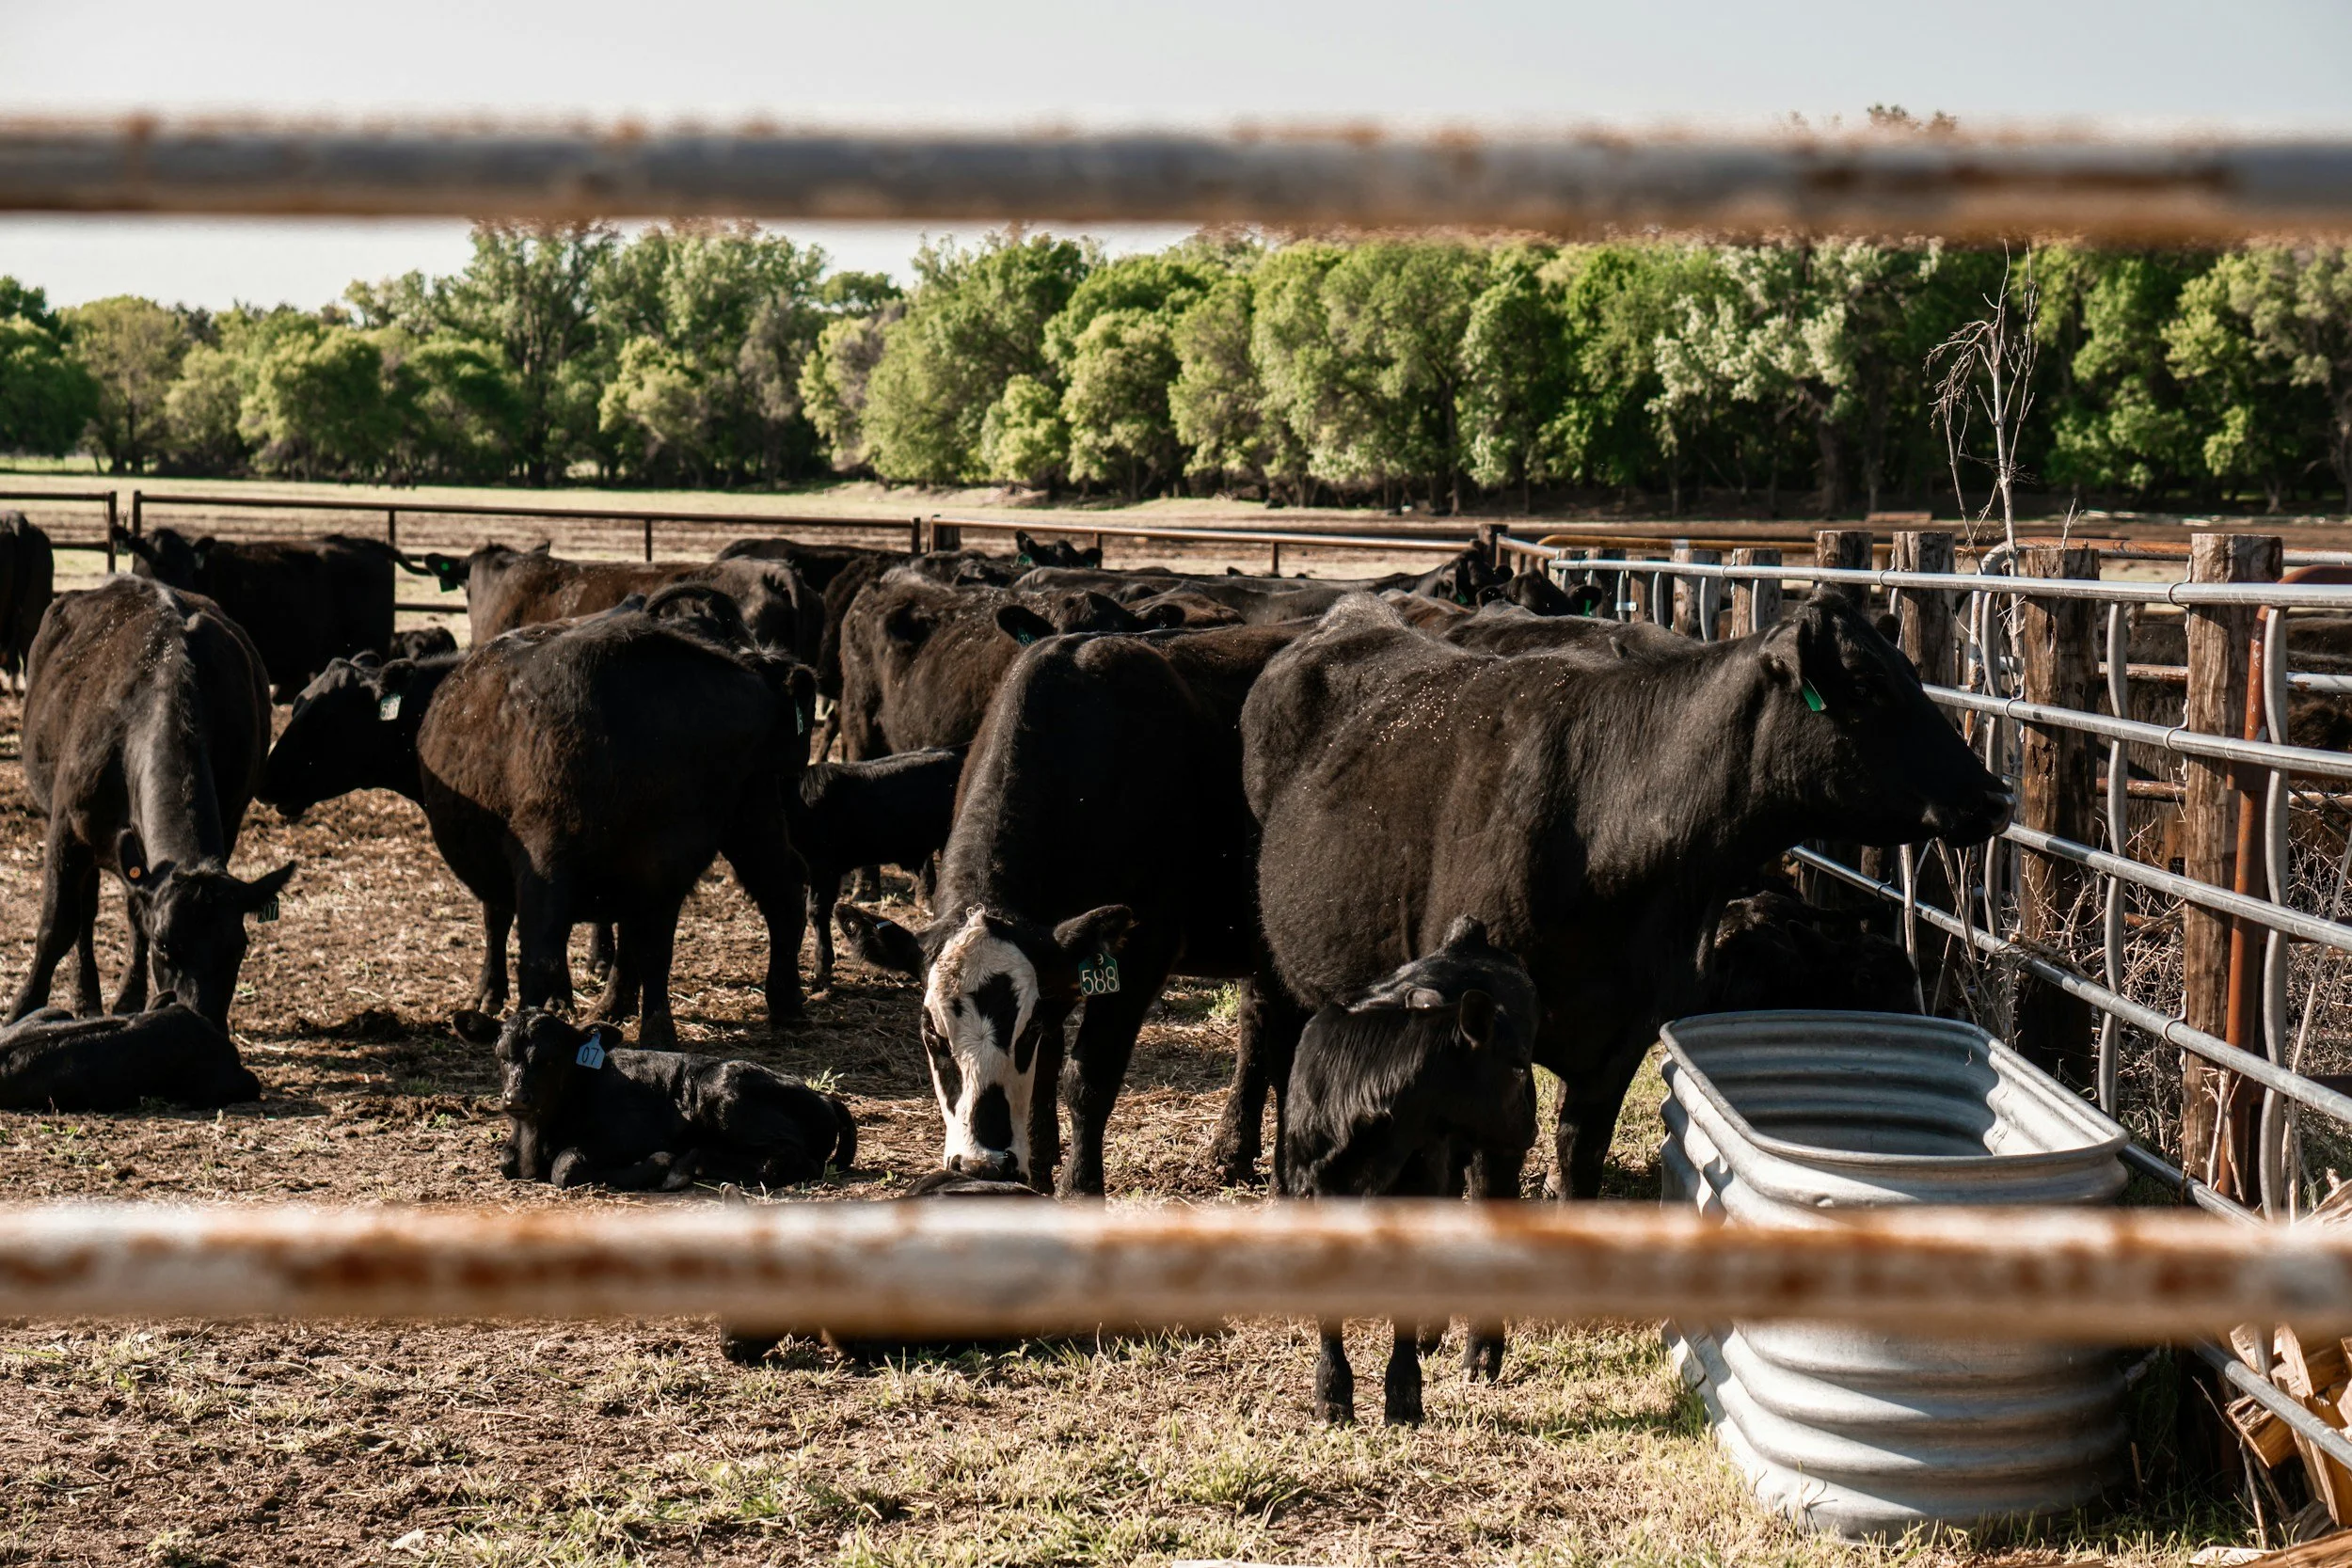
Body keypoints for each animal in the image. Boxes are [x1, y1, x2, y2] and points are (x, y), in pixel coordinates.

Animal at [10, 577, 294, 1028]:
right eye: (165, 946)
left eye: (239, 948)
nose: (199, 1019)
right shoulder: (65, 829)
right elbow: (57, 925)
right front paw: (23, 1009)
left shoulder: (228, 823)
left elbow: (136, 916)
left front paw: (132, 1002)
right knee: (84, 914)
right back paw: (86, 999)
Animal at [494, 1009, 855, 1190]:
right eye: (502, 1056)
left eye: (551, 1058)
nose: (516, 1097)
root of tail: (824, 1098)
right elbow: (505, 1160)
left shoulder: (629, 1136)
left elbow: (566, 1165)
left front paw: (656, 1165)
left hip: (720, 1084)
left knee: (794, 1161)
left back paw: (681, 1168)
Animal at [836, 620, 1311, 1196]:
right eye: (932, 1032)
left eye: (1024, 1029)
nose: (981, 1163)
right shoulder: (1057, 960)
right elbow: (1045, 1073)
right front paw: (1037, 1171)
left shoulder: (1141, 950)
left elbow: (1086, 1076)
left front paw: (1079, 1187)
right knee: (1257, 1021)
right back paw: (1230, 1152)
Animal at [1242, 589, 2011, 1206]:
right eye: (1867, 681)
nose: (1998, 796)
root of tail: (1355, 609)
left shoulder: (1626, 1033)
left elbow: (1580, 1154)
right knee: (1269, 1033)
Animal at [1281, 916, 1540, 1422]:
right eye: (1517, 1066)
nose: (1533, 1122)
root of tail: (1468, 940)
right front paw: (1332, 1396)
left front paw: (1403, 1400)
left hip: (1492, 1160)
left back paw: (1481, 1355)